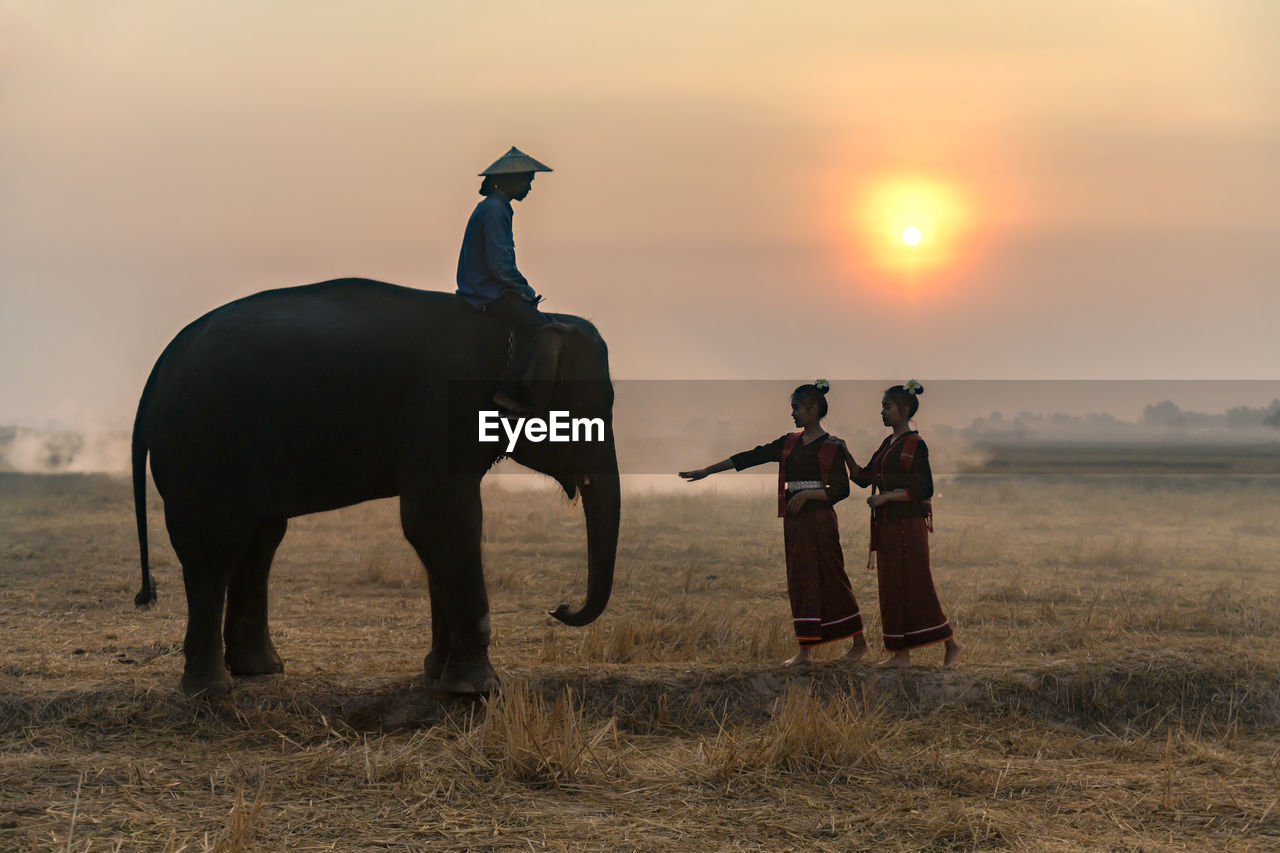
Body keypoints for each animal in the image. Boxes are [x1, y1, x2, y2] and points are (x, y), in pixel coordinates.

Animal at [132, 275, 622, 696]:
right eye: (592, 408)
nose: (559, 608)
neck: (528, 325)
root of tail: (159, 368)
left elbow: (439, 528)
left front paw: (437, 674)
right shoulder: (439, 411)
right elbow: (440, 522)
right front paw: (476, 690)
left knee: (260, 540)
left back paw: (259, 670)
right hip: (202, 450)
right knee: (214, 549)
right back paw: (210, 691)